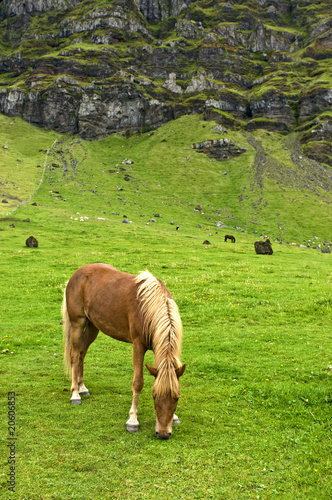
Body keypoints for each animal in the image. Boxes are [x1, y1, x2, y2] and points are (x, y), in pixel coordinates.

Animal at [62, 264, 185, 440]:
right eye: (154, 396)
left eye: (176, 398)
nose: (162, 434)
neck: (149, 308)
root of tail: (77, 273)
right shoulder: (138, 345)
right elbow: (138, 383)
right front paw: (132, 420)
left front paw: (174, 418)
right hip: (77, 324)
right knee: (74, 355)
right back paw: (75, 394)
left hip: (93, 326)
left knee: (81, 354)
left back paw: (82, 388)